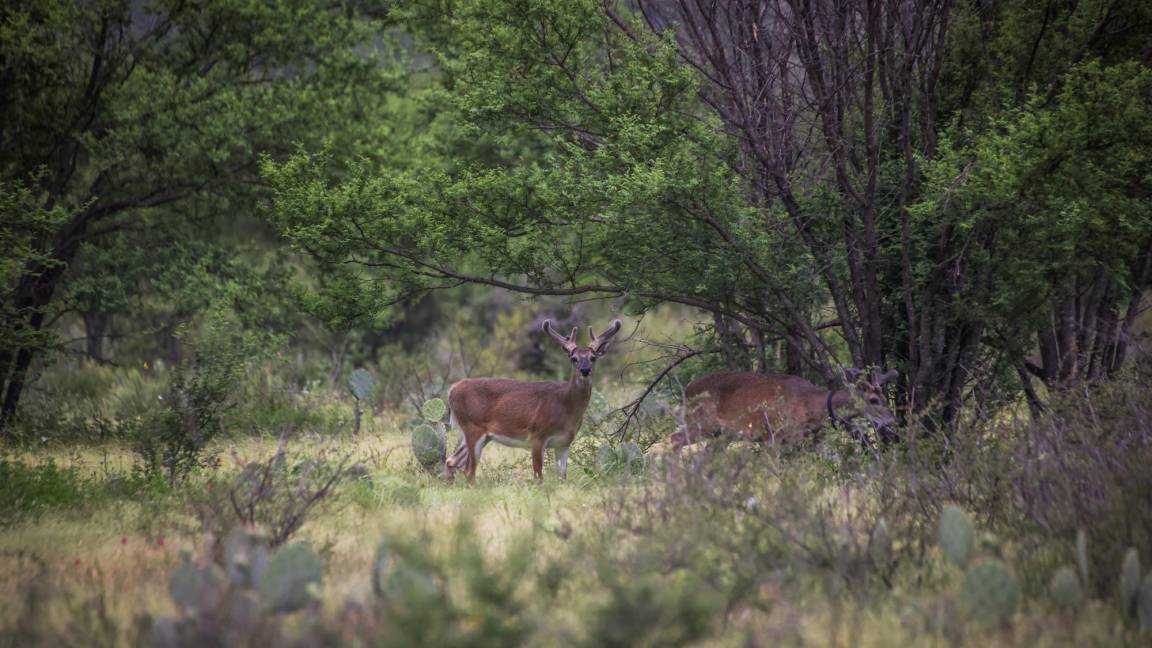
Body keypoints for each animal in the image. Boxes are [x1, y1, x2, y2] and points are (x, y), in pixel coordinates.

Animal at [442, 315, 622, 479]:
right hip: (473, 427)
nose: (585, 370)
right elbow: (538, 476)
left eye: (593, 358)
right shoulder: (537, 435)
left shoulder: (564, 443)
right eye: (574, 358)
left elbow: (562, 477)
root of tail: (451, 390)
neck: (565, 406)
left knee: (451, 461)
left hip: (480, 434)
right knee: (468, 471)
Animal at [672, 366, 898, 451]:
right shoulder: (774, 436)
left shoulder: (814, 440)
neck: (812, 405)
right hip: (702, 422)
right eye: (873, 400)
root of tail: (687, 388)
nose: (893, 420)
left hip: (722, 433)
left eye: (885, 397)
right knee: (675, 439)